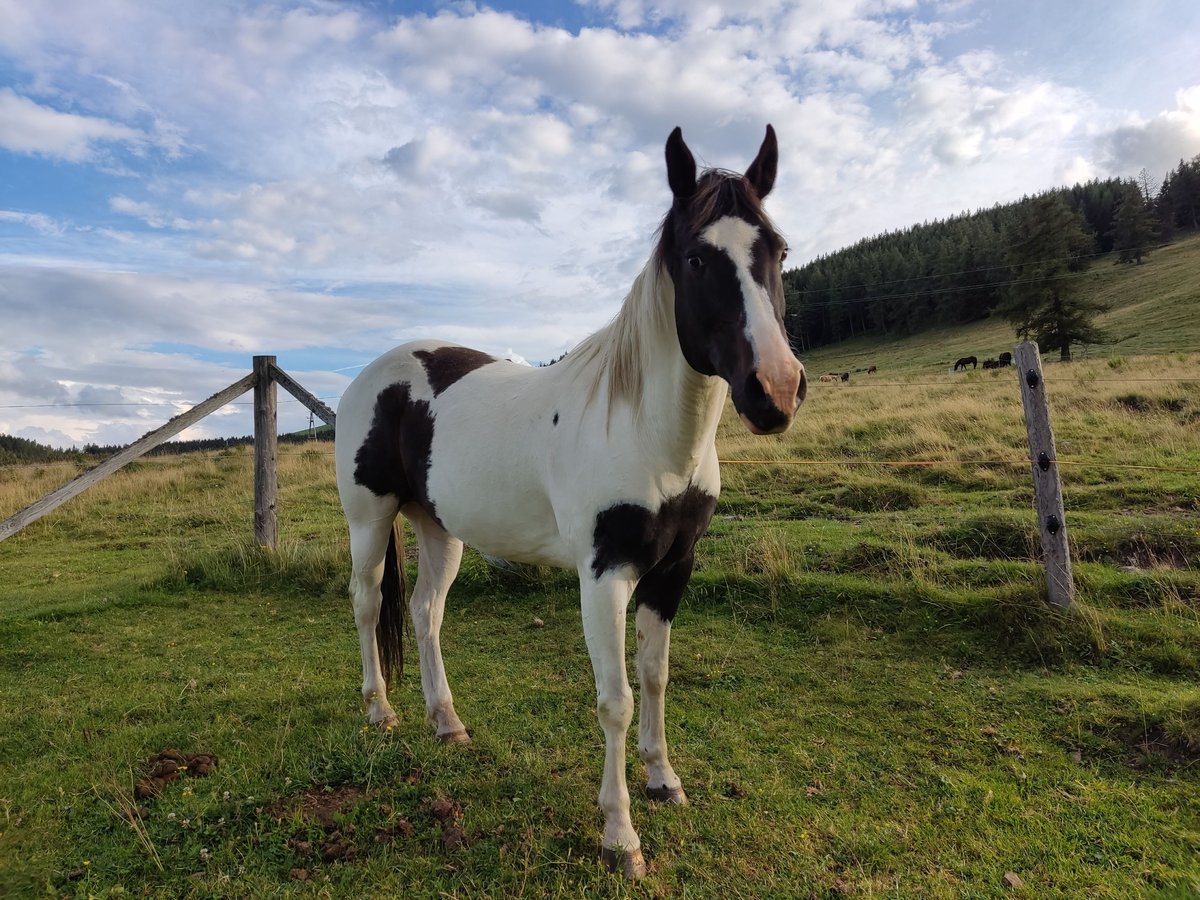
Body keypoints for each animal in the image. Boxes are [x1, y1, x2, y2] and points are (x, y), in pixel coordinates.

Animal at [336, 125, 806, 883]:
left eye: (779, 251)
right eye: (697, 257)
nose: (777, 390)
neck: (645, 430)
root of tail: (371, 376)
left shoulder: (673, 570)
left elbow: (655, 677)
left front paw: (663, 780)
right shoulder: (604, 575)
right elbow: (615, 700)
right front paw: (620, 835)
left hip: (441, 528)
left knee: (425, 614)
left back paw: (447, 722)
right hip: (369, 519)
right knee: (366, 603)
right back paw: (380, 711)